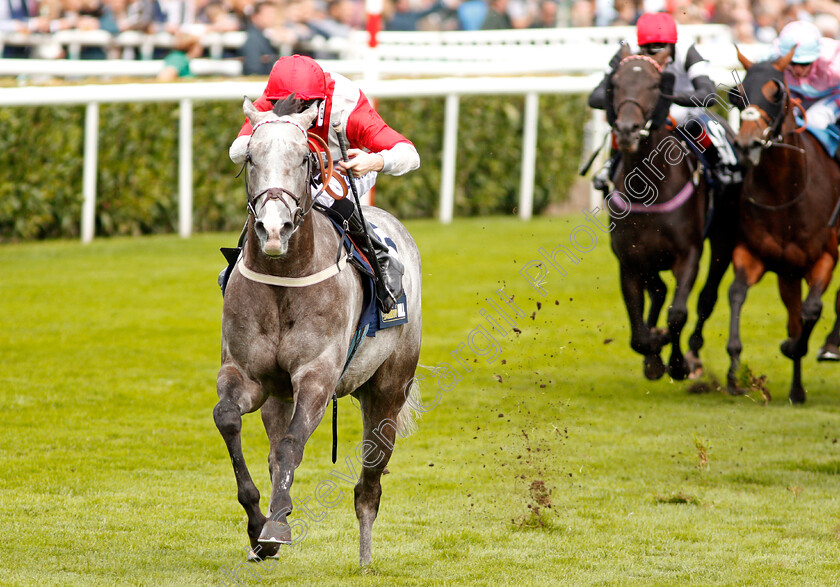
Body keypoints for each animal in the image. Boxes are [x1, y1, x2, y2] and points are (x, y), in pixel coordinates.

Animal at [213, 95, 424, 564]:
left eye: (304, 158)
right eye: (251, 158)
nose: (274, 229)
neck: (283, 278)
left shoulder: (317, 375)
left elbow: (293, 444)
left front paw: (275, 527)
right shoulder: (247, 374)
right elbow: (229, 419)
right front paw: (258, 526)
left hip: (388, 391)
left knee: (369, 485)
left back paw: (365, 559)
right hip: (279, 397)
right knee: (276, 451)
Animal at [604, 46, 736, 384]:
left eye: (654, 85)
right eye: (616, 84)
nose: (627, 130)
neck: (648, 188)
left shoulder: (688, 254)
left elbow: (678, 314)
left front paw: (676, 362)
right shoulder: (631, 260)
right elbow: (639, 333)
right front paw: (653, 348)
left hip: (724, 239)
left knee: (706, 298)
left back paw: (693, 353)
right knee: (660, 293)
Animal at [728, 49, 840, 404]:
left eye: (775, 92)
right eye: (738, 92)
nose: (747, 144)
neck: (786, 193)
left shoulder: (825, 257)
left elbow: (811, 310)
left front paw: (793, 346)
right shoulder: (755, 254)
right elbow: (737, 293)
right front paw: (734, 372)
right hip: (788, 274)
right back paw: (797, 388)